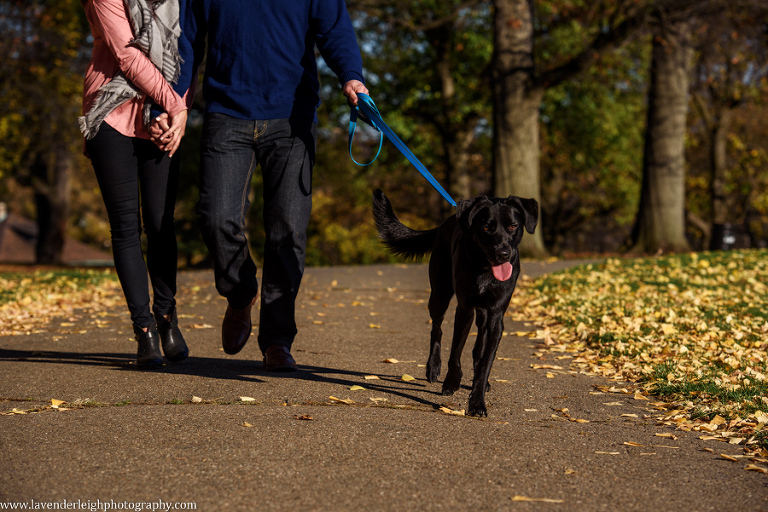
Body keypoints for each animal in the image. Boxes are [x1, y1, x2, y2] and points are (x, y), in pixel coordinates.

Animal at [374, 188, 540, 416]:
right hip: (439, 295)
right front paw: (451, 382)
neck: (485, 270)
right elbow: (455, 350)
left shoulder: (496, 315)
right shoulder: (465, 308)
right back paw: (433, 368)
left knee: (478, 346)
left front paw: (478, 400)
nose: (503, 254)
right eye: (486, 227)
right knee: (436, 329)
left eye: (513, 226)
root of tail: (448, 221)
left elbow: (486, 360)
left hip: (482, 314)